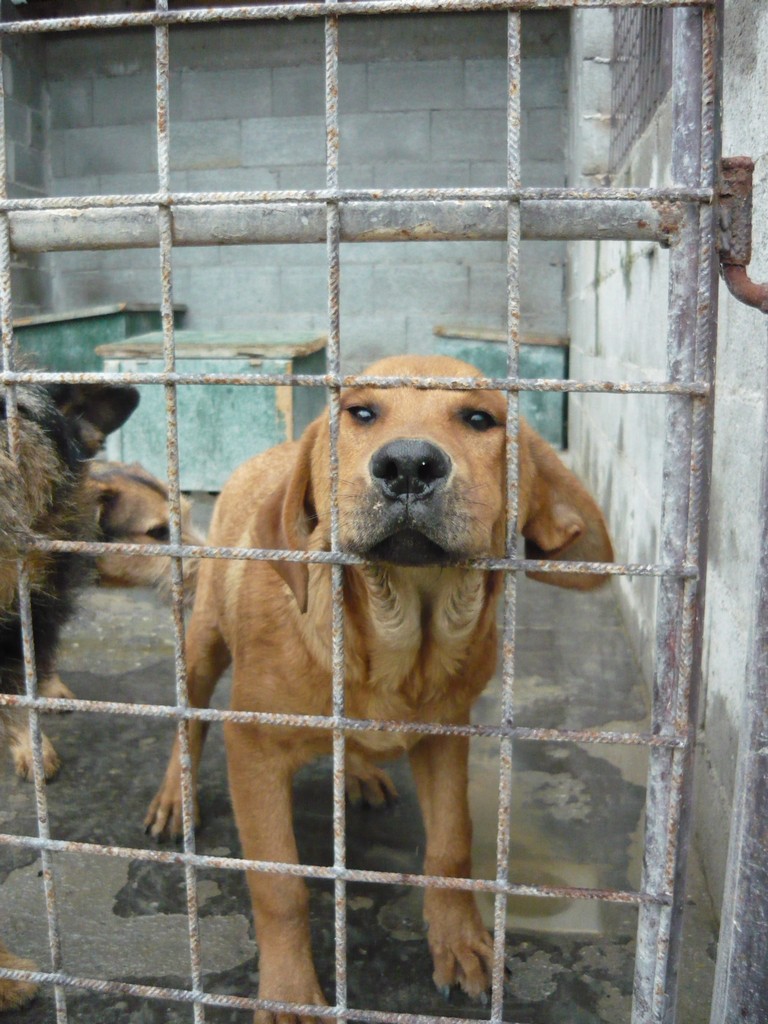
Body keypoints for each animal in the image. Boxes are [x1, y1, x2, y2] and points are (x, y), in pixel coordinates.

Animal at [144, 354, 613, 1021]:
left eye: (480, 419)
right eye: (360, 412)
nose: (409, 465)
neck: (400, 651)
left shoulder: (446, 735)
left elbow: (452, 843)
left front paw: (460, 941)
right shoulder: (253, 751)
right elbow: (279, 884)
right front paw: (289, 992)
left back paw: (362, 771)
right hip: (204, 642)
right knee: (188, 719)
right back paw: (173, 798)